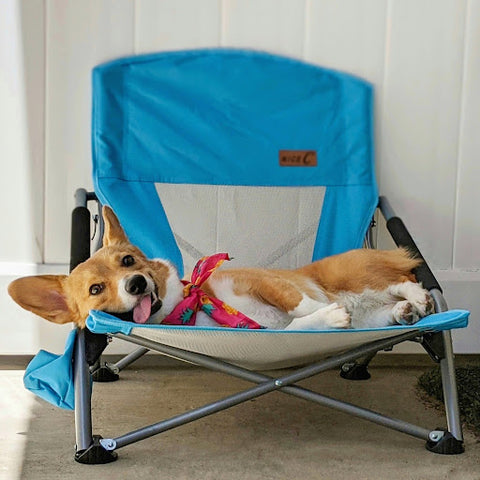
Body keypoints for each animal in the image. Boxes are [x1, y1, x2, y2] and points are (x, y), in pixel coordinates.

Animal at [8, 204, 436, 332]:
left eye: (128, 261)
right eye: (96, 289)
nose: (135, 283)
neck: (193, 304)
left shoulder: (266, 283)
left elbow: (300, 306)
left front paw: (324, 312)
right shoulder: (264, 330)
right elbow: (297, 324)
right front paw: (328, 318)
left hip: (351, 277)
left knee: (403, 279)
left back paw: (416, 297)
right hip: (370, 311)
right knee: (386, 304)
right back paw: (404, 312)